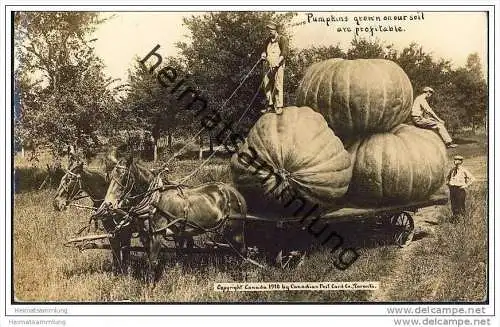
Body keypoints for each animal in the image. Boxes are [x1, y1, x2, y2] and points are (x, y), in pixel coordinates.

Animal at [100, 156, 249, 282]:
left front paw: (150, 287)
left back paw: (242, 276)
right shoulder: (145, 235)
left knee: (242, 251)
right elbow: (150, 258)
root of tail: (235, 192)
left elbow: (153, 261)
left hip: (236, 228)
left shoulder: (157, 234)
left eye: (124, 176)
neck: (155, 199)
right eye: (110, 177)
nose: (108, 204)